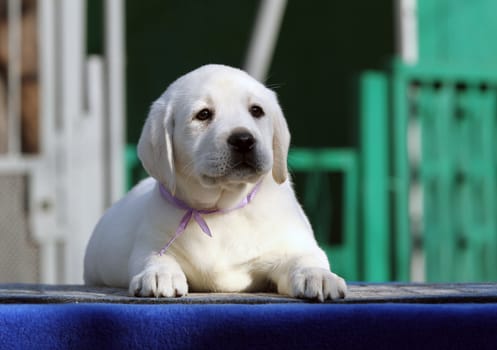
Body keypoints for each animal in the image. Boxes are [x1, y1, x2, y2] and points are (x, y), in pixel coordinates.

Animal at [84, 63, 344, 300]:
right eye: (203, 114)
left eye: (256, 110)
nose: (243, 140)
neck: (221, 209)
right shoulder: (152, 240)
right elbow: (155, 257)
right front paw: (159, 274)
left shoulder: (293, 244)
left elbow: (307, 257)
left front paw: (319, 275)